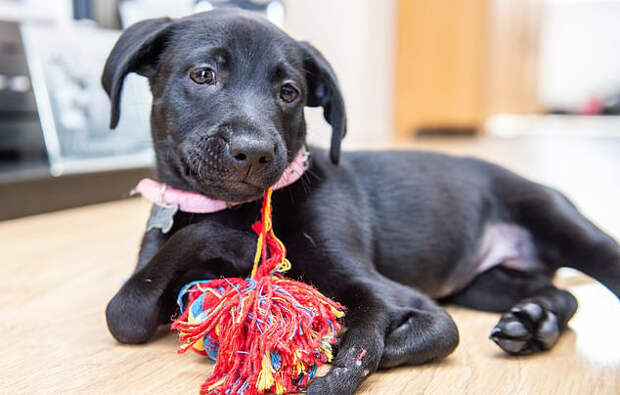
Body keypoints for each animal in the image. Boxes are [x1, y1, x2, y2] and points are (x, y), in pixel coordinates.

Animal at [101, 9, 620, 395]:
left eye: (289, 92)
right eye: (203, 75)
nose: (254, 151)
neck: (240, 207)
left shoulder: (378, 288)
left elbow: (371, 344)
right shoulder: (148, 271)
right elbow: (123, 313)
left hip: (560, 223)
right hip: (483, 285)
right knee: (561, 292)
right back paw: (533, 322)